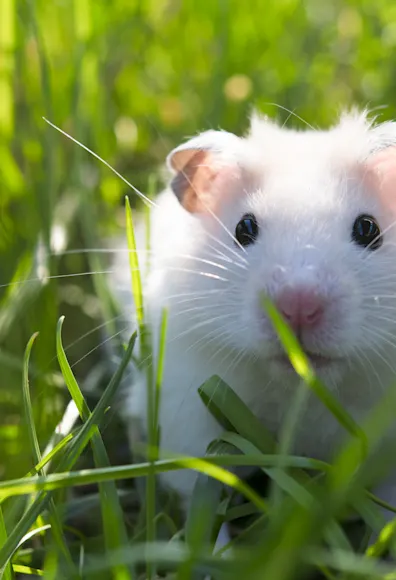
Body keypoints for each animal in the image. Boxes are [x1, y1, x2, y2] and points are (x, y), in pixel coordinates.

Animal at [112, 109, 396, 516]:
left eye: (368, 229)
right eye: (244, 228)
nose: (298, 306)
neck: (301, 390)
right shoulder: (188, 415)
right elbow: (203, 492)